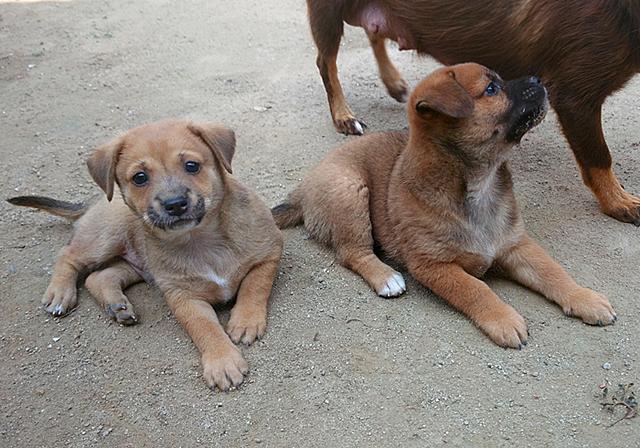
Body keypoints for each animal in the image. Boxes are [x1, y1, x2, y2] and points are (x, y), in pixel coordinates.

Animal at [6, 120, 282, 392]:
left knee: (99, 276)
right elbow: (204, 328)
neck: (201, 239)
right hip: (107, 237)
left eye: (191, 165)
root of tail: (94, 202)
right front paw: (222, 361)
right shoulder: (182, 296)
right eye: (140, 178)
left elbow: (254, 286)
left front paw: (245, 322)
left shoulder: (268, 254)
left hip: (138, 262)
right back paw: (60, 294)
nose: (175, 204)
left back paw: (118, 306)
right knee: (68, 254)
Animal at [272, 65, 616, 348]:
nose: (538, 79)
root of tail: (304, 187)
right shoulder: (434, 265)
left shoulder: (517, 245)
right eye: (491, 89)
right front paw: (503, 319)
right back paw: (386, 277)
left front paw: (584, 298)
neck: (479, 186)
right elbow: (476, 289)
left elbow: (554, 272)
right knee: (352, 252)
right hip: (349, 191)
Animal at [306, 0, 640, 224]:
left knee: (374, 33)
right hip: (328, 12)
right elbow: (598, 156)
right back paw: (343, 114)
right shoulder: (576, 99)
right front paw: (619, 202)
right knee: (326, 62)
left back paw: (393, 81)